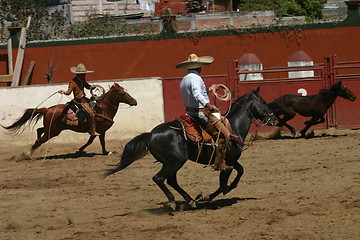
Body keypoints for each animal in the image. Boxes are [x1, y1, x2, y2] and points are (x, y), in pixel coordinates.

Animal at [2, 82, 138, 154]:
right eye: (122, 93)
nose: (134, 101)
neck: (103, 109)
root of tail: (47, 109)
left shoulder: (96, 131)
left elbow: (91, 140)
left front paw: (80, 150)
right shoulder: (101, 130)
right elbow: (99, 141)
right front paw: (105, 152)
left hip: (50, 128)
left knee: (39, 131)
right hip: (53, 131)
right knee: (39, 140)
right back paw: (28, 155)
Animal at [104, 88, 276, 210]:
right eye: (264, 102)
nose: (273, 119)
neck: (233, 127)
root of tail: (151, 134)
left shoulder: (233, 160)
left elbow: (240, 172)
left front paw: (211, 194)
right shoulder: (227, 163)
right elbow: (224, 183)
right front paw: (208, 196)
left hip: (171, 163)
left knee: (171, 180)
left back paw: (191, 200)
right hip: (176, 162)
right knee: (159, 178)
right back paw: (175, 202)